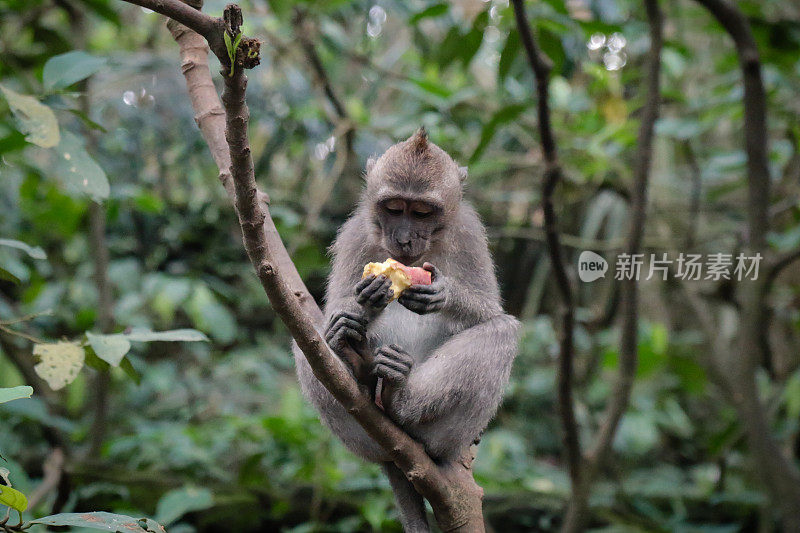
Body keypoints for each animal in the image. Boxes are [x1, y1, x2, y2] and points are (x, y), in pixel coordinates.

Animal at [294, 127, 520, 528]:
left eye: (422, 212)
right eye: (394, 208)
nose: (403, 239)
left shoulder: (469, 235)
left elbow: (490, 311)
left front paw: (444, 294)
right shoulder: (355, 233)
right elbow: (335, 309)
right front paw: (362, 306)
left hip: (444, 437)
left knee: (502, 332)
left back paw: (401, 402)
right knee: (309, 338)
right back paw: (359, 366)